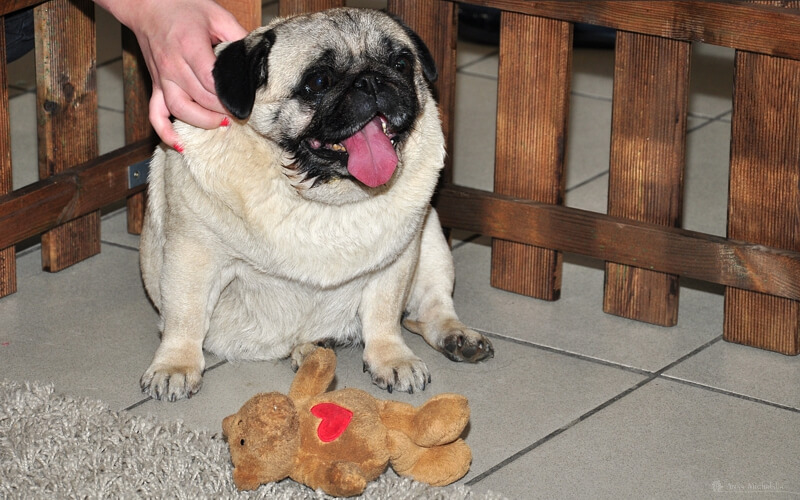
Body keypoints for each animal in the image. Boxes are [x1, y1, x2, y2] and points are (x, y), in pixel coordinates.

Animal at [140, 7, 490, 402]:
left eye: (401, 64)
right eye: (319, 82)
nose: (372, 81)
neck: (319, 192)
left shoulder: (396, 261)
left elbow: (384, 315)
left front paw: (391, 358)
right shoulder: (193, 254)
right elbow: (184, 314)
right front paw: (175, 365)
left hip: (431, 242)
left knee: (428, 309)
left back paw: (457, 337)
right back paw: (312, 350)